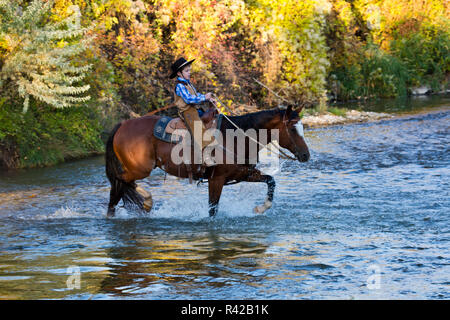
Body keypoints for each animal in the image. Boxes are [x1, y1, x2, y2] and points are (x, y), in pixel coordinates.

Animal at [104, 105, 310, 218]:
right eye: (293, 129)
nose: (306, 155)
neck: (237, 137)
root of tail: (122, 124)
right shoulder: (216, 179)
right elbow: (213, 209)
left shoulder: (243, 173)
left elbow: (271, 181)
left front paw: (261, 207)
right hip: (139, 168)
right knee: (118, 183)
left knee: (123, 184)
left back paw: (145, 202)